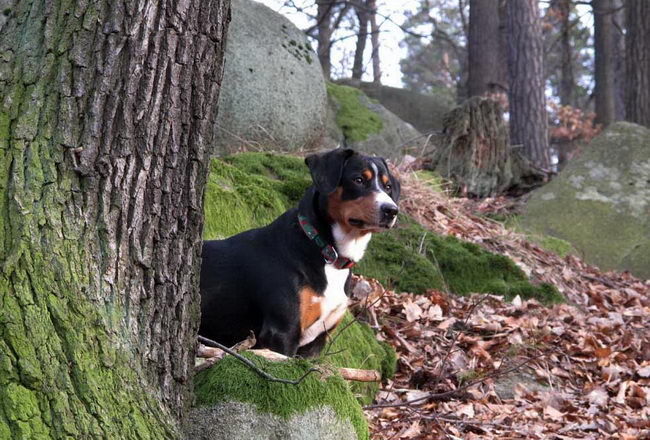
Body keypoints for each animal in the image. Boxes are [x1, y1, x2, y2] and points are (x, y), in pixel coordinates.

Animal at [199, 148, 400, 358]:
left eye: (387, 186)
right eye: (359, 179)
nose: (392, 210)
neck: (328, 253)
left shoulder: (316, 342)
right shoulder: (283, 332)